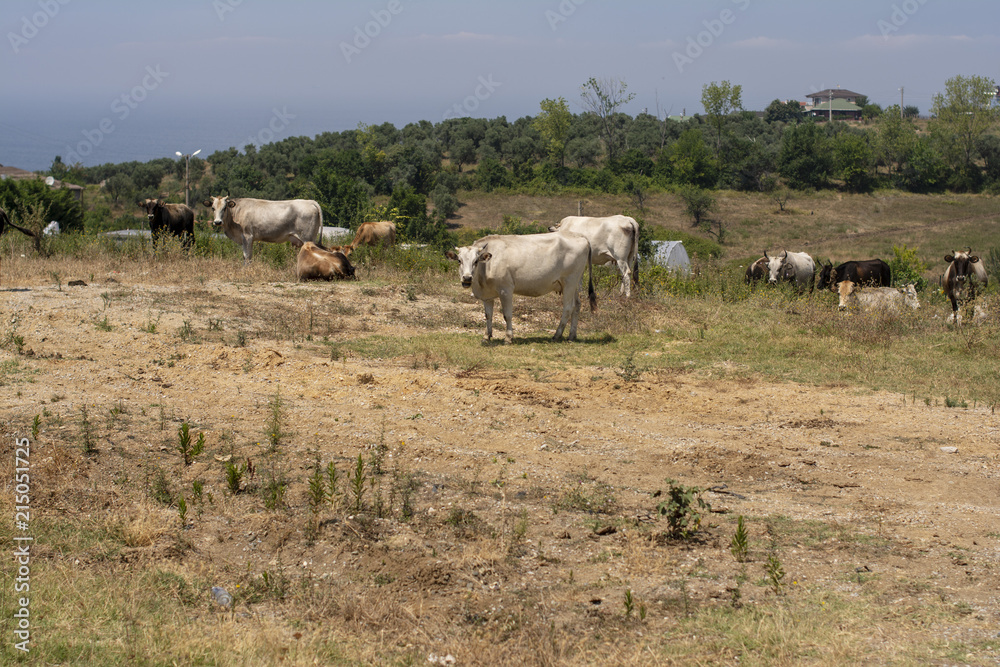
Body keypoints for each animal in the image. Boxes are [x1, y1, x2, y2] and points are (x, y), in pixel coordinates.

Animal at [450, 232, 596, 344]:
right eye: (459, 260)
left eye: (476, 261)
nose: (467, 278)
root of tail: (581, 236)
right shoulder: (487, 295)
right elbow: (488, 315)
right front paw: (486, 336)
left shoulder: (506, 290)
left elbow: (507, 315)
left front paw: (508, 338)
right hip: (574, 284)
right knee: (577, 305)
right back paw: (571, 336)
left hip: (570, 282)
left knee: (568, 308)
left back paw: (557, 335)